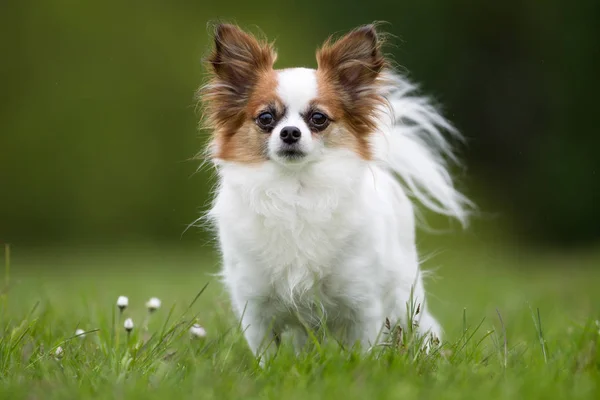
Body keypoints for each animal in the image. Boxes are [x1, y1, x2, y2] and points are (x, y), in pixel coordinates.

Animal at [199, 23, 472, 364]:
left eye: (318, 118)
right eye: (266, 118)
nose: (290, 132)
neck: (296, 191)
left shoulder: (363, 305)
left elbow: (365, 350)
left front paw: (363, 370)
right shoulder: (256, 309)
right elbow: (267, 357)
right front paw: (271, 372)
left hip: (404, 292)